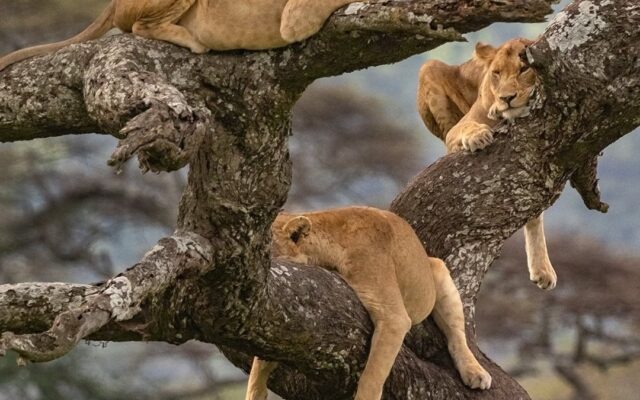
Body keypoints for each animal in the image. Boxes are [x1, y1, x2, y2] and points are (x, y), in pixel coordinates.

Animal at [246, 206, 491, 400]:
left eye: (264, 253)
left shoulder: (394, 317)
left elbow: (372, 376)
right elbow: (263, 360)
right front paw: (255, 392)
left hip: (439, 271)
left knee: (456, 335)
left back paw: (475, 372)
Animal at [417, 38, 557, 291]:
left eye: (524, 69)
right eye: (496, 73)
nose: (506, 98)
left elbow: (536, 211)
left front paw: (543, 268)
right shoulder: (456, 130)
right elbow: (467, 127)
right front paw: (477, 135)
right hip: (429, 67)